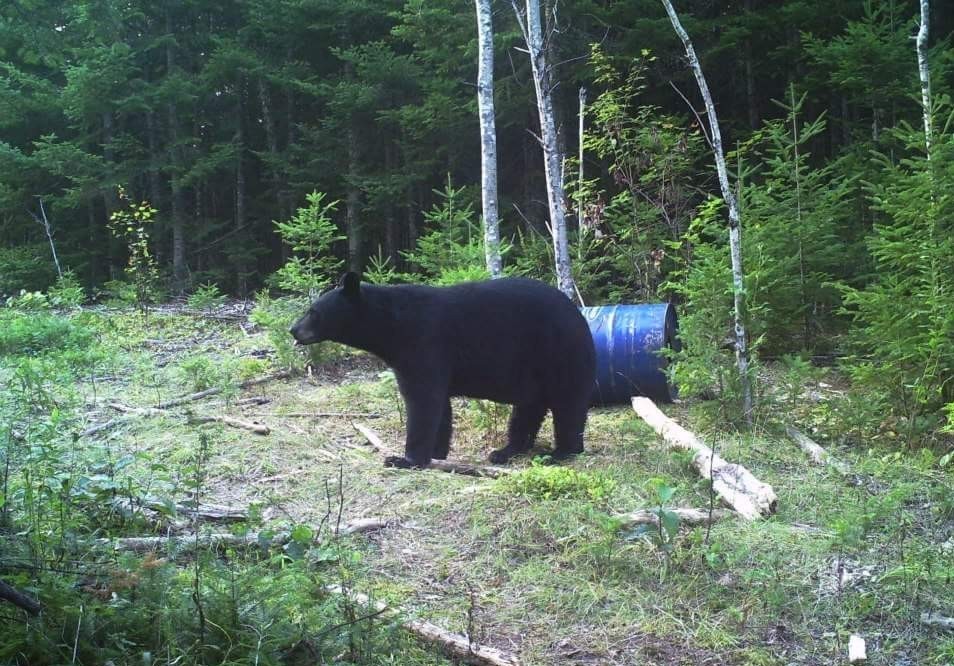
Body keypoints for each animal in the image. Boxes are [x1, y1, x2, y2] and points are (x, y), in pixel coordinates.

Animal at [289, 272, 596, 468]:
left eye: (313, 311)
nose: (293, 329)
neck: (391, 326)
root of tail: (580, 315)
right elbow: (440, 408)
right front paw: (436, 453)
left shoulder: (423, 343)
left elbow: (423, 401)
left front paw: (405, 459)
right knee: (527, 409)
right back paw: (505, 451)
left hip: (560, 352)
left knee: (568, 405)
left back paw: (563, 452)